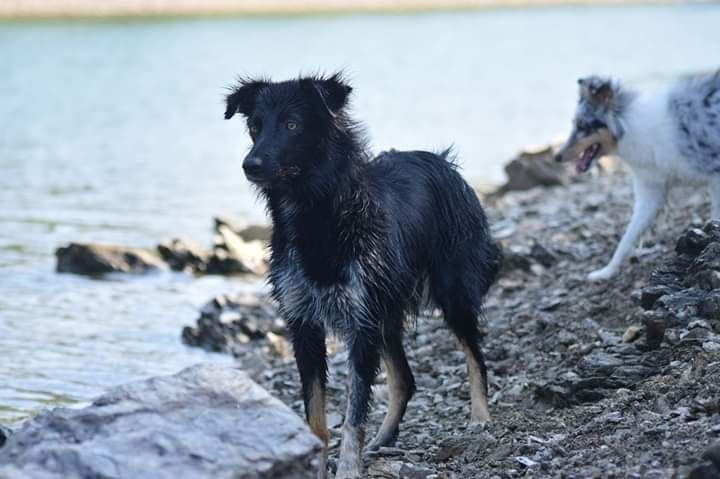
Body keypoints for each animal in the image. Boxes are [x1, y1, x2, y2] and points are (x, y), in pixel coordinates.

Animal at [225, 73, 500, 478]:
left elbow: (354, 415)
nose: (250, 165)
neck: (317, 212)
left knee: (474, 353)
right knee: (405, 379)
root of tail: (441, 160)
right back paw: (383, 440)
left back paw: (480, 418)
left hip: (450, 290)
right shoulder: (304, 323)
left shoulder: (359, 323)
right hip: (384, 311)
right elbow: (316, 416)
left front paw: (348, 469)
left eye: (292, 125)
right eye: (255, 126)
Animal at [556, 71, 720, 282]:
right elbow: (627, 238)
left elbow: (715, 216)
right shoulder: (650, 191)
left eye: (583, 126)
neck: (634, 129)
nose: (556, 156)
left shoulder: (714, 177)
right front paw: (605, 272)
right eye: (575, 124)